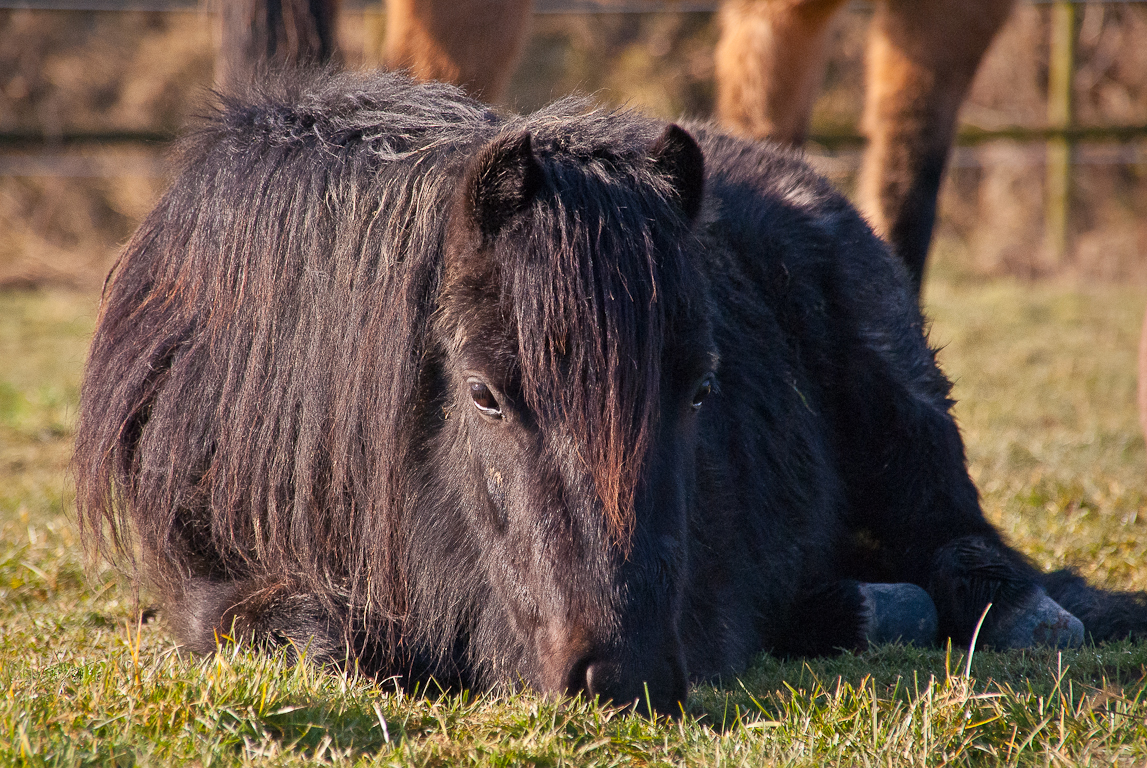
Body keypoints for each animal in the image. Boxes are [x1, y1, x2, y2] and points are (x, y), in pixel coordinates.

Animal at [73, 72, 1147, 715]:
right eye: (483, 394)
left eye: (702, 388)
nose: (621, 672)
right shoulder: (205, 582)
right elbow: (316, 643)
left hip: (902, 406)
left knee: (965, 541)